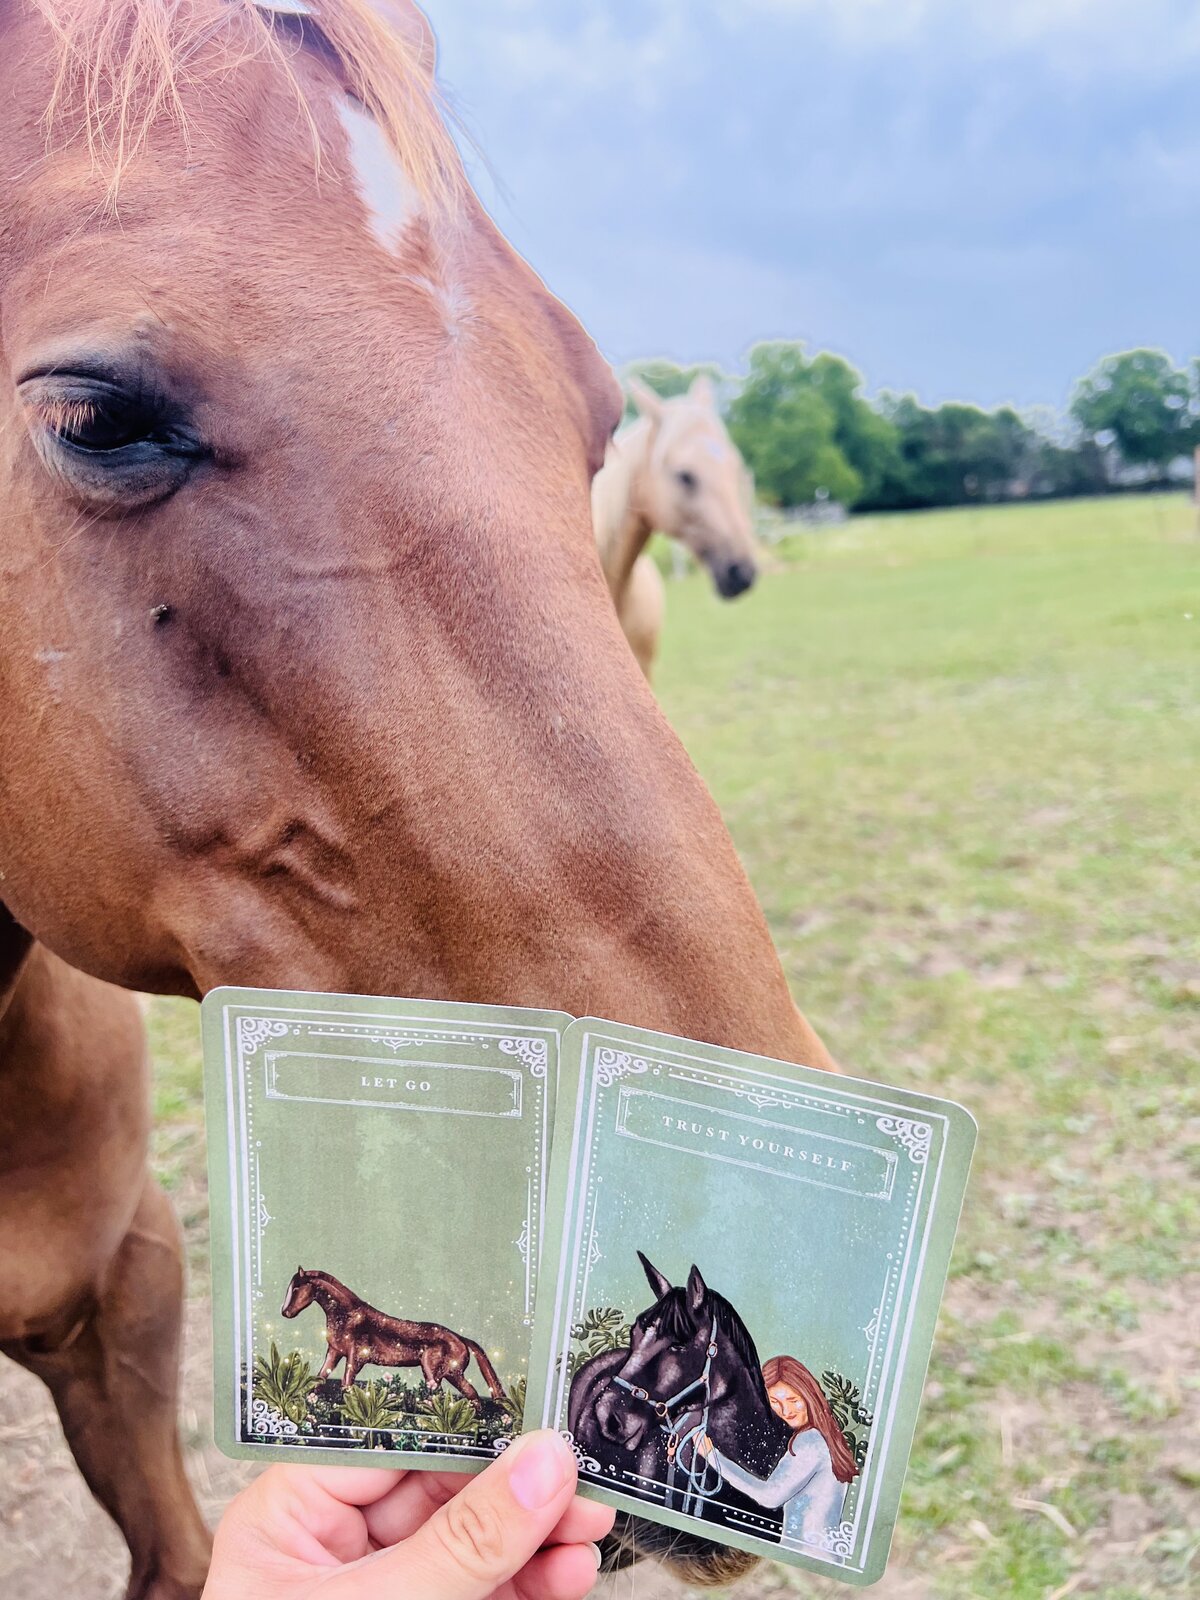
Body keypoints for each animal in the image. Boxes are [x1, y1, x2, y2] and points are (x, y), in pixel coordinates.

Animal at [281, 1267, 504, 1403]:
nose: (285, 1312)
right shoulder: (335, 1352)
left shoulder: (356, 1358)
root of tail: (461, 1339)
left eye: (297, 1288)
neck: (348, 1317)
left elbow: (346, 1384)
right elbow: (320, 1378)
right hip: (443, 1375)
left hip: (445, 1373)